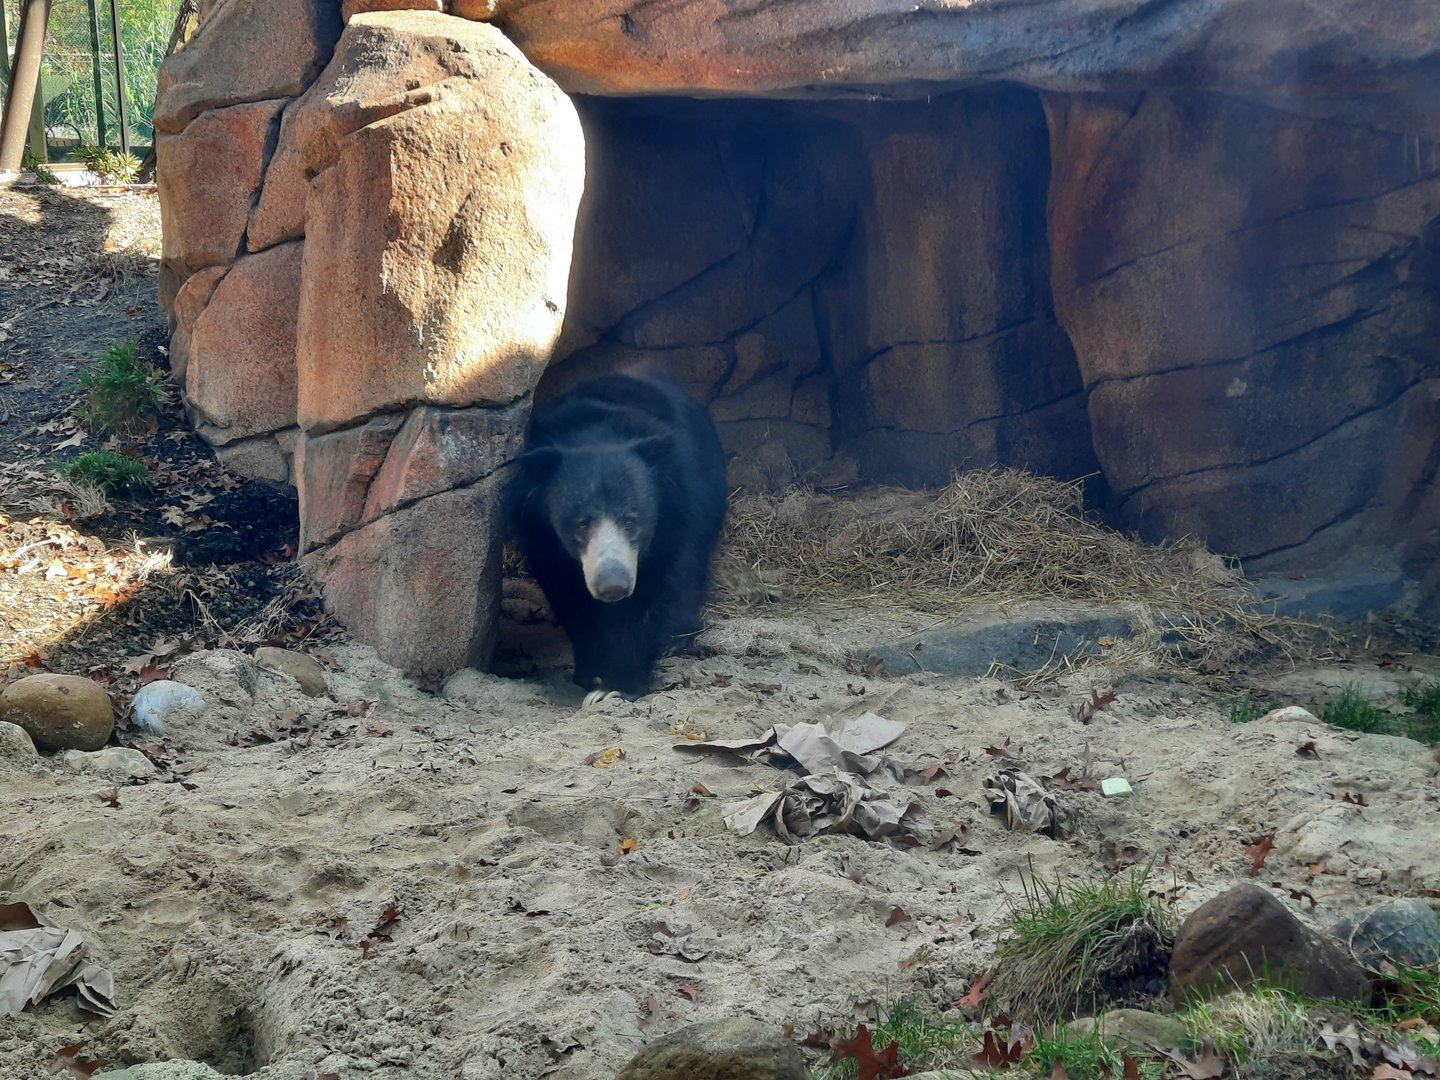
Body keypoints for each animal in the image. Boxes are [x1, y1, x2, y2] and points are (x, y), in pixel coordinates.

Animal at [504, 370, 728, 701]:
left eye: (631, 520)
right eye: (581, 524)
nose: (613, 586)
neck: (599, 434)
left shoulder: (674, 517)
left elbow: (650, 598)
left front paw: (616, 687)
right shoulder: (541, 536)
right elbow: (571, 599)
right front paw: (591, 673)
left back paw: (678, 638)